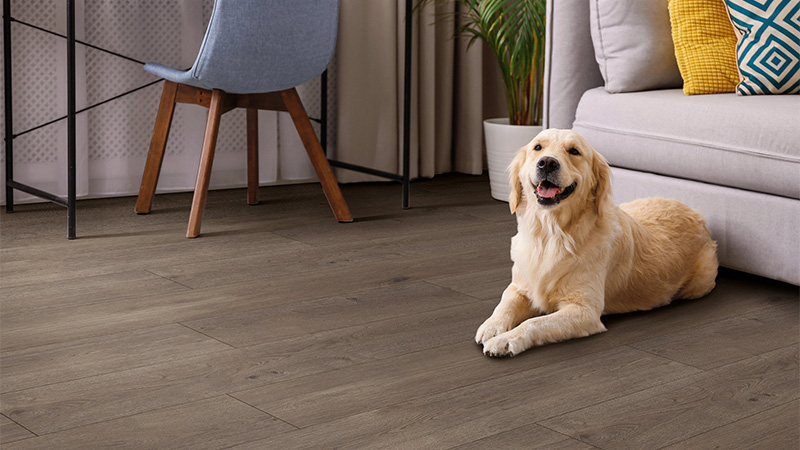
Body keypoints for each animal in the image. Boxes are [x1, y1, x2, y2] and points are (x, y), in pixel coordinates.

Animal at [476, 130, 720, 358]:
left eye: (574, 151)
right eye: (538, 147)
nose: (547, 162)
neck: (551, 234)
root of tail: (698, 215)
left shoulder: (584, 311)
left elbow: (534, 323)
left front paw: (505, 340)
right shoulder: (519, 286)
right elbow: (504, 305)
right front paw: (492, 326)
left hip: (699, 283)